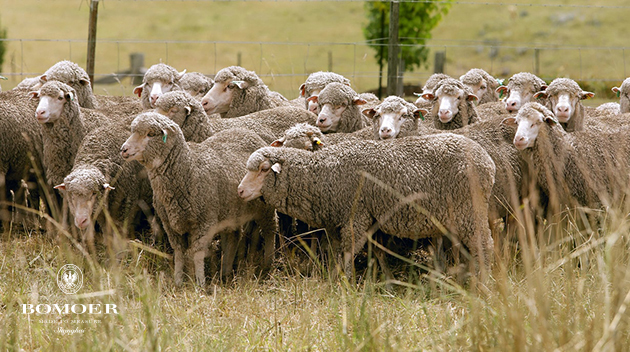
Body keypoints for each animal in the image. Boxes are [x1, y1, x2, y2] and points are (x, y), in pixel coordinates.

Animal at [121, 113, 276, 286]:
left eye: (150, 134)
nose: (123, 149)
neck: (189, 169)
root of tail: (247, 132)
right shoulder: (170, 225)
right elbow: (179, 252)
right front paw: (178, 281)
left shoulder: (204, 222)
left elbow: (197, 253)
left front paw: (200, 283)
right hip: (230, 211)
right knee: (234, 236)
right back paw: (225, 272)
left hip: (266, 207)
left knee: (270, 230)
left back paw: (267, 265)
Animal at [238, 135, 498, 276]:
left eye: (263, 169)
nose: (239, 191)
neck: (321, 173)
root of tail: (487, 161)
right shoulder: (340, 220)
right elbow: (339, 251)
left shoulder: (357, 215)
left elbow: (349, 251)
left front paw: (343, 282)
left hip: (470, 209)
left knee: (484, 245)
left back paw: (483, 282)